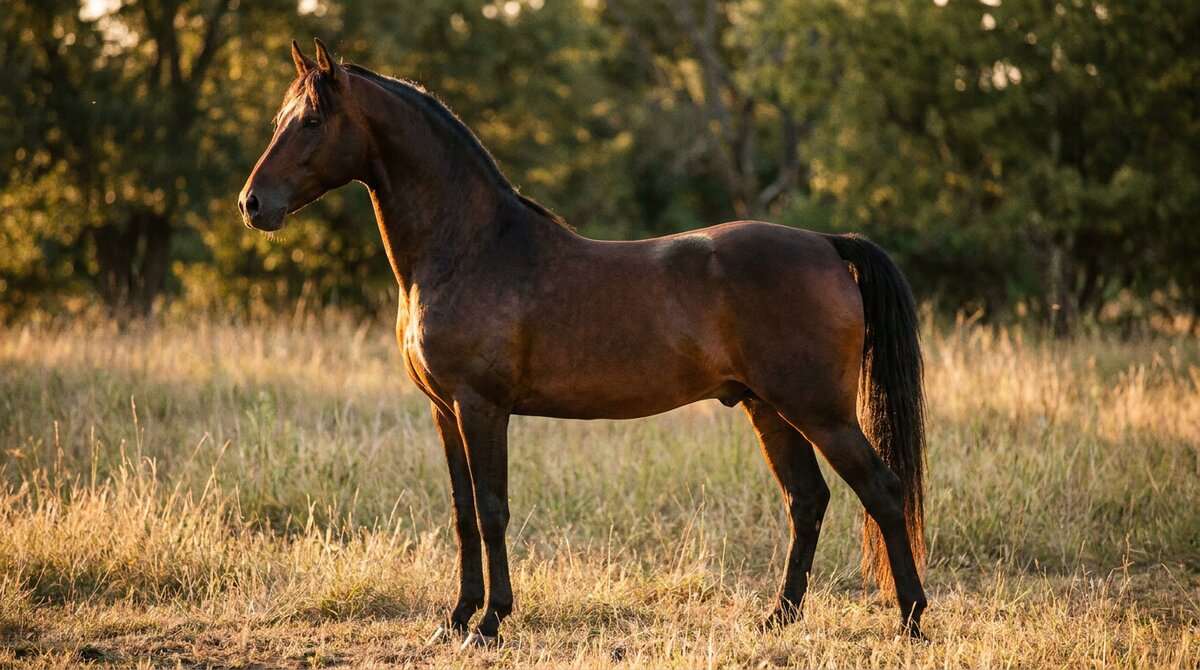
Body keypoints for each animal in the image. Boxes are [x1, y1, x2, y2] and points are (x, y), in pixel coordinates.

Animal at [239, 39, 929, 648]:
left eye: (312, 120)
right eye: (280, 119)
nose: (252, 204)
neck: (471, 248)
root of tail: (826, 244)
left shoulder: (480, 407)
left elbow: (492, 509)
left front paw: (489, 623)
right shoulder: (444, 411)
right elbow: (463, 513)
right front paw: (455, 619)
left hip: (820, 412)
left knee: (882, 490)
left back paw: (912, 620)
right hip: (770, 409)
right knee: (806, 500)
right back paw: (777, 619)